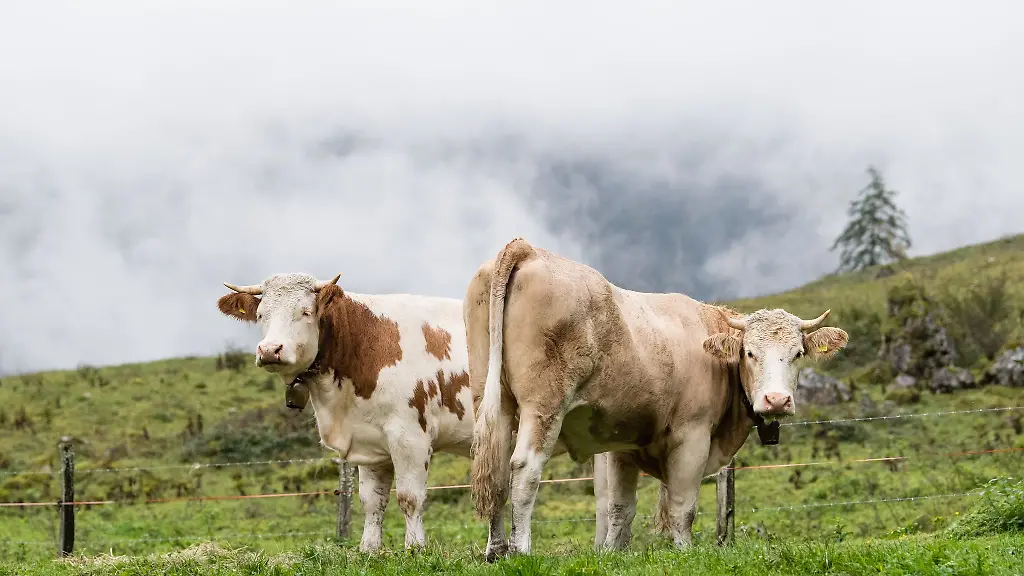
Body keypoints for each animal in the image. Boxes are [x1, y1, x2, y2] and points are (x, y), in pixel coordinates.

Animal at [216, 272, 475, 552]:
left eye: (305, 312)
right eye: (261, 314)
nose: (269, 350)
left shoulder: (410, 437)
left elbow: (410, 498)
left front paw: (415, 549)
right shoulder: (371, 442)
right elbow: (372, 501)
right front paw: (369, 549)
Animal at [465, 238, 849, 560]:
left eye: (798, 353)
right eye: (750, 353)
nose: (776, 400)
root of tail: (529, 249)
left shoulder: (621, 443)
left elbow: (620, 507)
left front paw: (613, 555)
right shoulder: (692, 436)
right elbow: (682, 506)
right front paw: (684, 552)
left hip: (492, 400)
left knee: (495, 470)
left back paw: (496, 550)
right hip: (544, 405)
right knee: (524, 468)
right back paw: (520, 550)